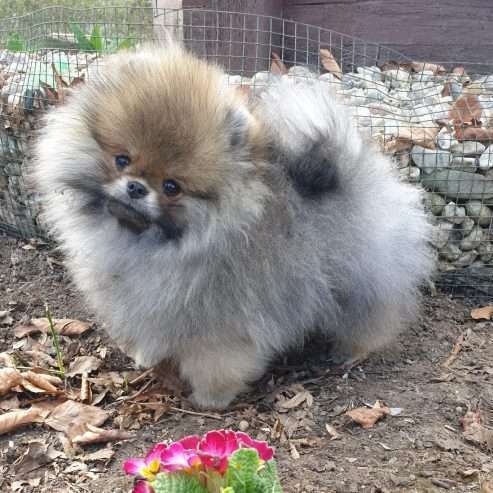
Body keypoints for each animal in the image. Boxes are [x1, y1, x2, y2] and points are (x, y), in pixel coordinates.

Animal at [32, 44, 432, 410]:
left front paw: (211, 399)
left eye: (172, 187)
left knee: (371, 314)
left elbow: (217, 362)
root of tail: (350, 171)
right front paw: (148, 358)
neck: (153, 244)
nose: (135, 187)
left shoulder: (222, 322)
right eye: (121, 160)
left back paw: (352, 350)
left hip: (360, 278)